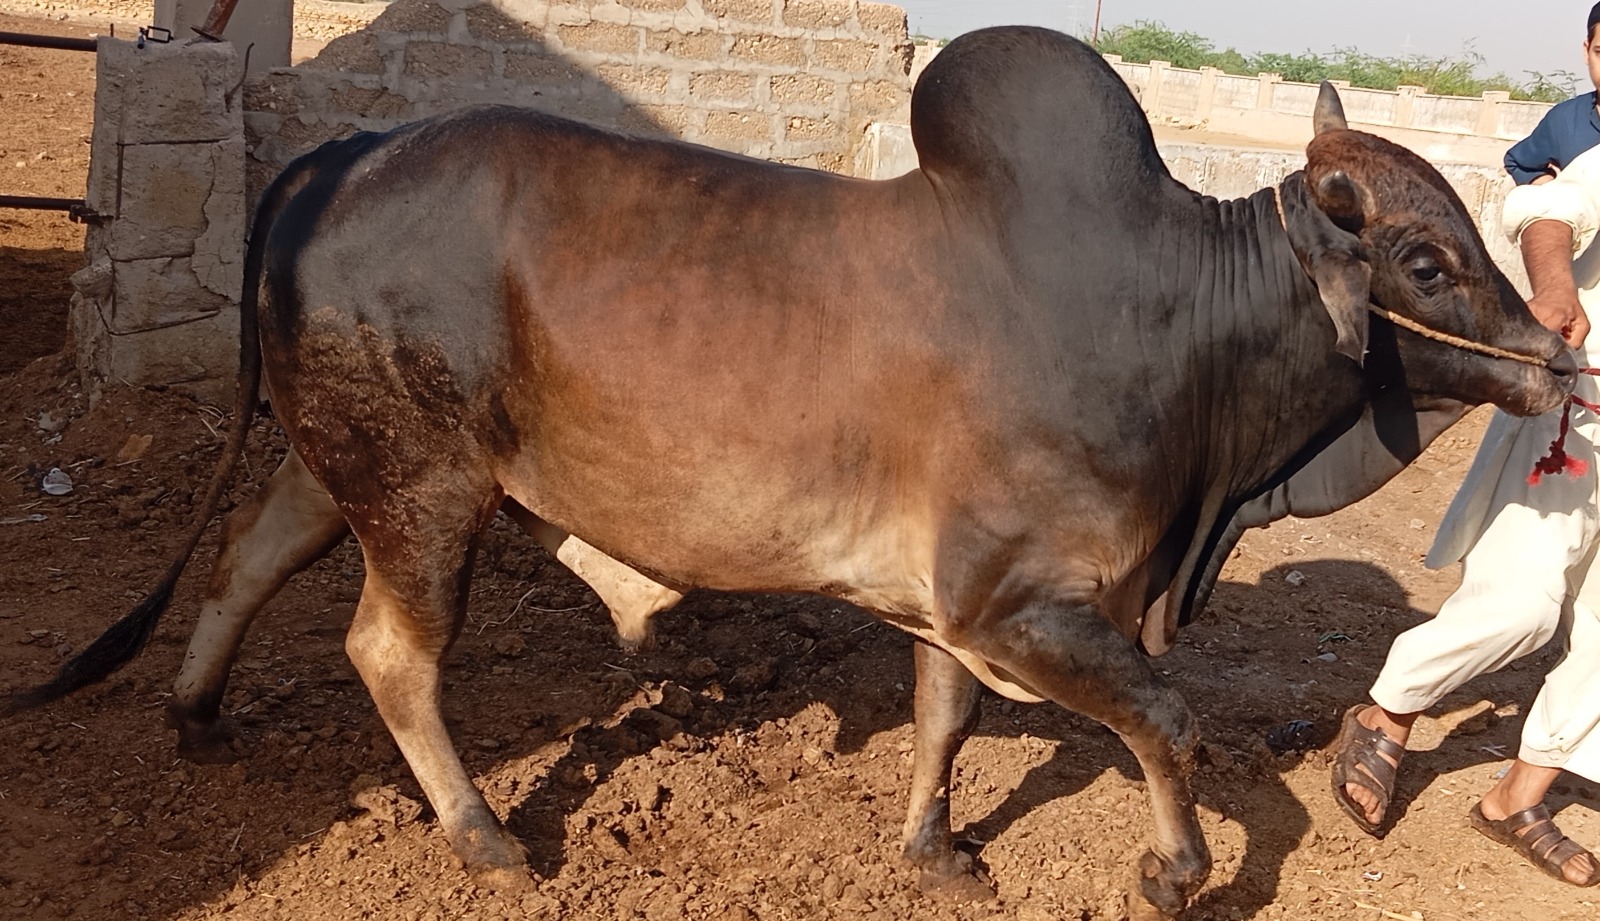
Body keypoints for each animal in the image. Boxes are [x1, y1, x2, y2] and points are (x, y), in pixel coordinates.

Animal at [3, 26, 1576, 919]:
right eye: (1424, 259)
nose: (1556, 360)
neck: (1184, 326)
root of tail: (342, 154)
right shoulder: (1028, 606)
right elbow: (1165, 722)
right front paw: (1174, 874)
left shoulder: (965, 605)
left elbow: (946, 718)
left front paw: (934, 852)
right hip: (429, 489)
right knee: (389, 651)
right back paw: (483, 836)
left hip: (347, 462)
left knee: (247, 559)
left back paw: (199, 718)